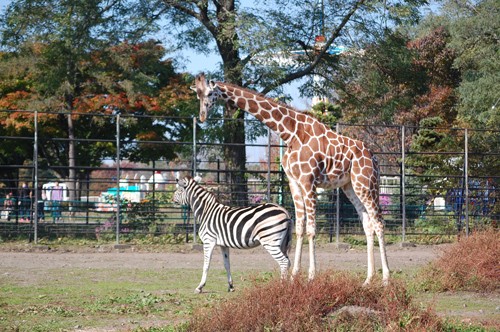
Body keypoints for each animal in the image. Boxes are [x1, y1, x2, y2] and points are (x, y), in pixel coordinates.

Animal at [191, 73, 390, 286]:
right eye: (197, 95)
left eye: (209, 93)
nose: (202, 116)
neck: (289, 132)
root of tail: (374, 157)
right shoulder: (294, 182)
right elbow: (300, 228)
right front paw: (295, 275)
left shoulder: (308, 181)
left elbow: (311, 229)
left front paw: (311, 276)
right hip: (350, 186)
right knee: (368, 225)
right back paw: (368, 279)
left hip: (367, 183)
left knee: (379, 223)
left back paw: (386, 278)